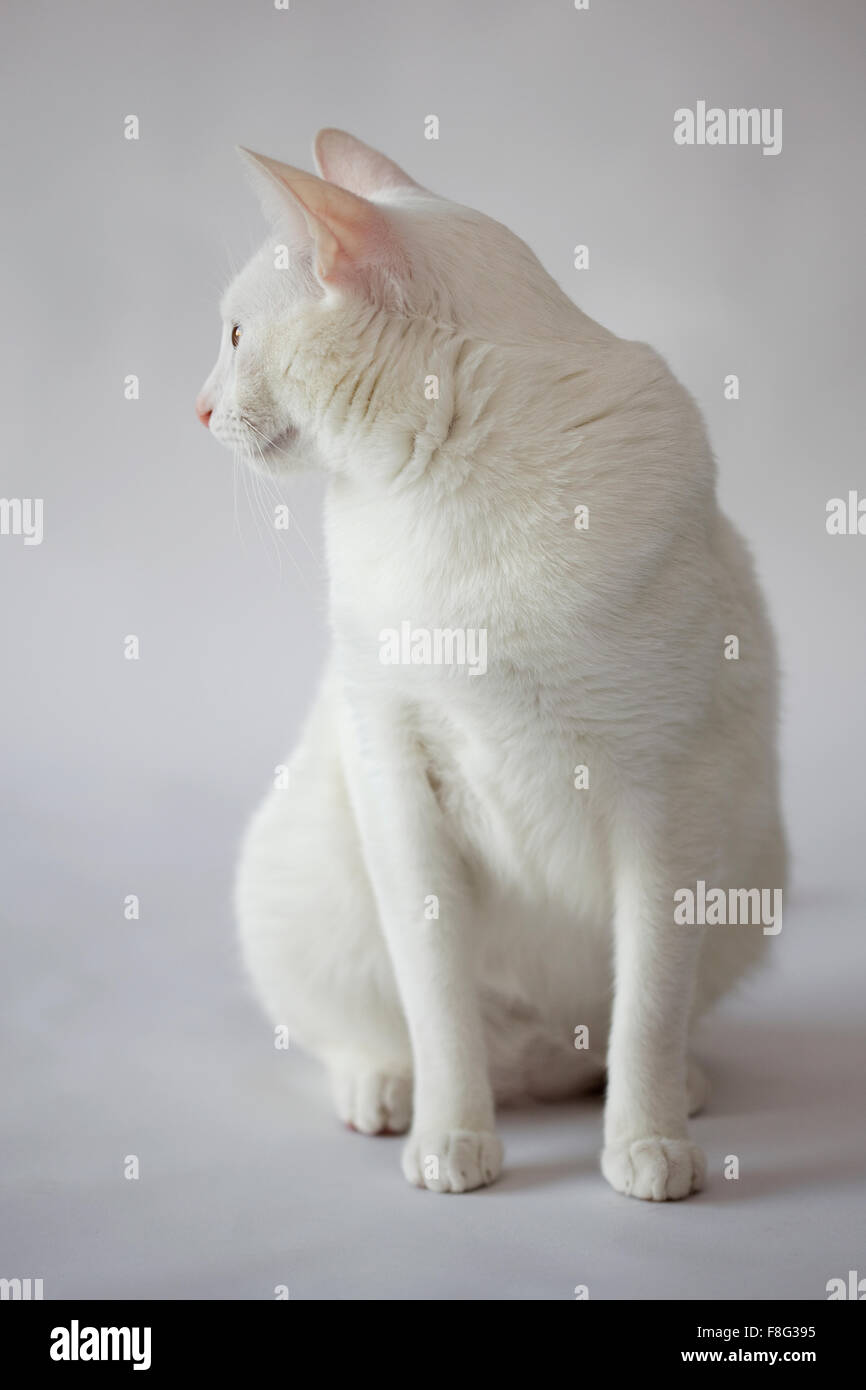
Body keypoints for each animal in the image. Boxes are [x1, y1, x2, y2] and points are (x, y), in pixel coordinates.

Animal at [195, 127, 783, 1195]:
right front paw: (452, 1142)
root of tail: (538, 1064)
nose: (199, 410)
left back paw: (676, 1093)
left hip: (748, 874)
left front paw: (646, 1146)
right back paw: (385, 1094)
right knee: (372, 1032)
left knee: (631, 1033)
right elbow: (438, 1004)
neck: (451, 486)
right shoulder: (398, 778)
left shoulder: (667, 797)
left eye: (234, 337)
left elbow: (647, 1007)